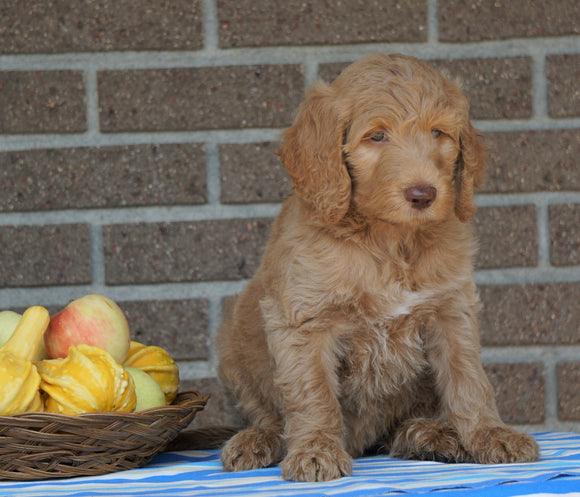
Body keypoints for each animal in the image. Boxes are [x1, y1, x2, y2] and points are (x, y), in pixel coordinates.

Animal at [213, 51, 540, 480]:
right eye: (377, 136)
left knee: (399, 427)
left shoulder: (452, 311)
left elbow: (468, 379)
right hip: (233, 344)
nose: (423, 194)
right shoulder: (304, 320)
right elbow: (312, 392)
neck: (389, 240)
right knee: (266, 413)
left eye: (439, 133)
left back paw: (429, 435)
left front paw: (491, 433)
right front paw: (316, 451)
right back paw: (258, 440)